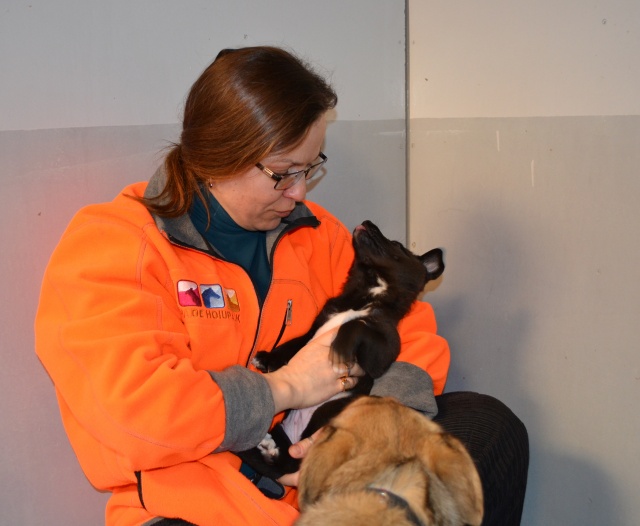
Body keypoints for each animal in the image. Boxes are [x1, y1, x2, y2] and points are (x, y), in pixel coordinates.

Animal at [238, 220, 445, 478]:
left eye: (397, 245)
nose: (367, 222)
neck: (366, 293)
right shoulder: (318, 325)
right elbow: (295, 343)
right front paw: (268, 359)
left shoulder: (382, 353)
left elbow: (355, 324)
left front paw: (341, 343)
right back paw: (267, 445)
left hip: (333, 411)